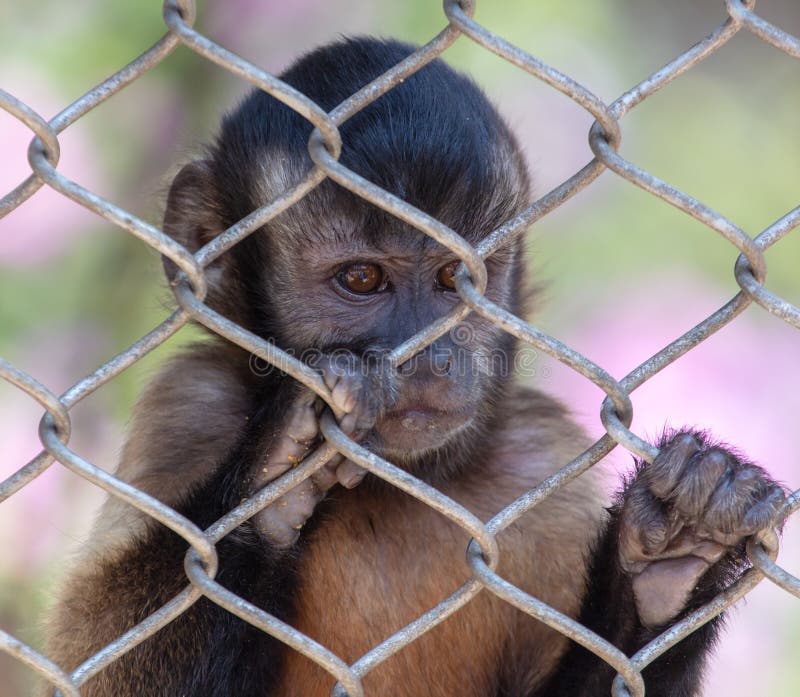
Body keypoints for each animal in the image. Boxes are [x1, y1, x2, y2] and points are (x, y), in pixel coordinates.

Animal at [43, 37, 785, 697]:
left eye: (456, 278)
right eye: (361, 278)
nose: (433, 355)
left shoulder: (541, 458)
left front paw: (674, 557)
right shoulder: (189, 405)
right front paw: (283, 463)